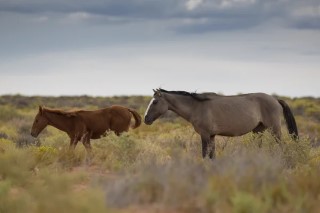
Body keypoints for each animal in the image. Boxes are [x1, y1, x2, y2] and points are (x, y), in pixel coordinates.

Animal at [144, 88, 298, 160]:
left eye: (155, 102)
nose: (146, 119)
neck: (197, 106)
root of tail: (275, 100)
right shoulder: (212, 136)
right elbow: (212, 156)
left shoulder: (205, 135)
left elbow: (205, 154)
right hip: (258, 130)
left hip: (274, 129)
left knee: (281, 145)